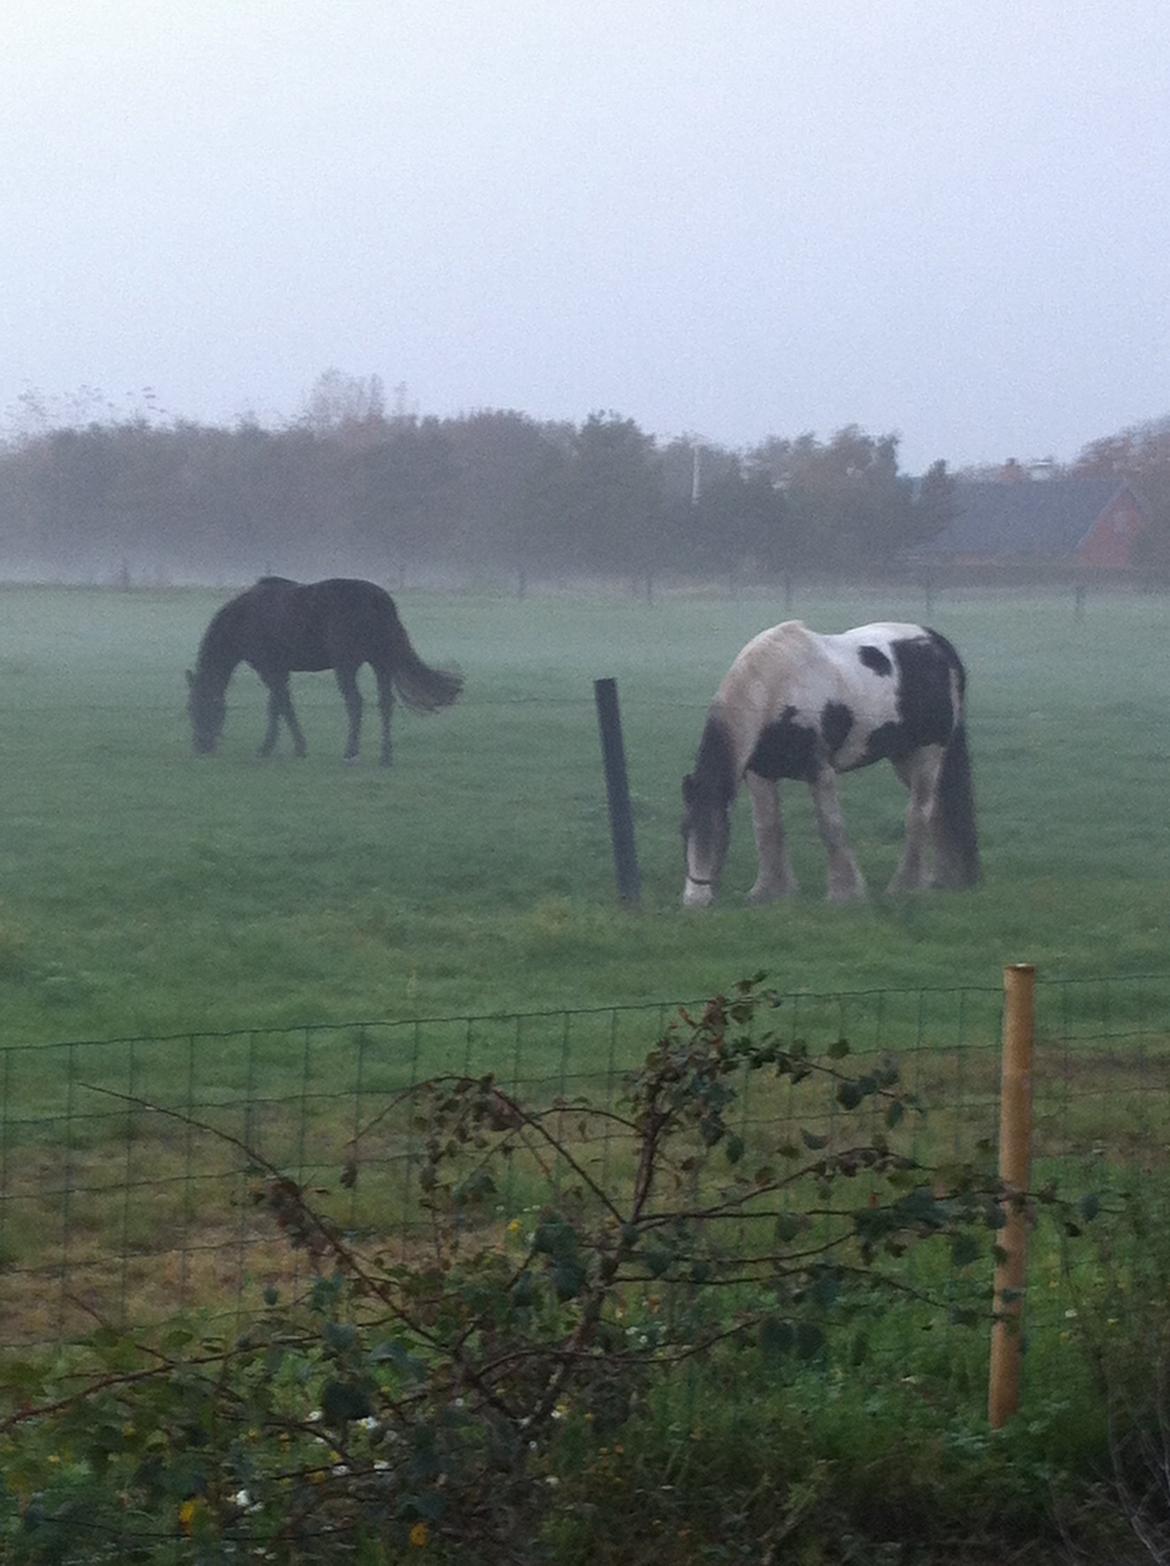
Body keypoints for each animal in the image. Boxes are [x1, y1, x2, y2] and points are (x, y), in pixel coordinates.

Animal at [184, 579, 463, 767]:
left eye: (201, 706)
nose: (200, 745)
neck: (243, 619)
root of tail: (378, 600)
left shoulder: (270, 669)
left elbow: (281, 706)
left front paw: (279, 747)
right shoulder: (279, 670)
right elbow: (278, 705)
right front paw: (284, 746)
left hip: (347, 665)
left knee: (355, 703)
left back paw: (351, 753)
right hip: (381, 663)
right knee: (385, 703)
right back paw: (386, 756)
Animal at [682, 613, 983, 908]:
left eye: (720, 838)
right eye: (684, 833)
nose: (694, 901)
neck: (776, 688)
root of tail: (937, 642)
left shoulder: (819, 770)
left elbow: (830, 825)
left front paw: (845, 892)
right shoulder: (760, 774)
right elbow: (767, 827)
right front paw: (770, 892)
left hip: (927, 753)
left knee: (918, 814)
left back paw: (905, 885)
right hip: (904, 757)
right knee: (938, 808)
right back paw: (943, 877)